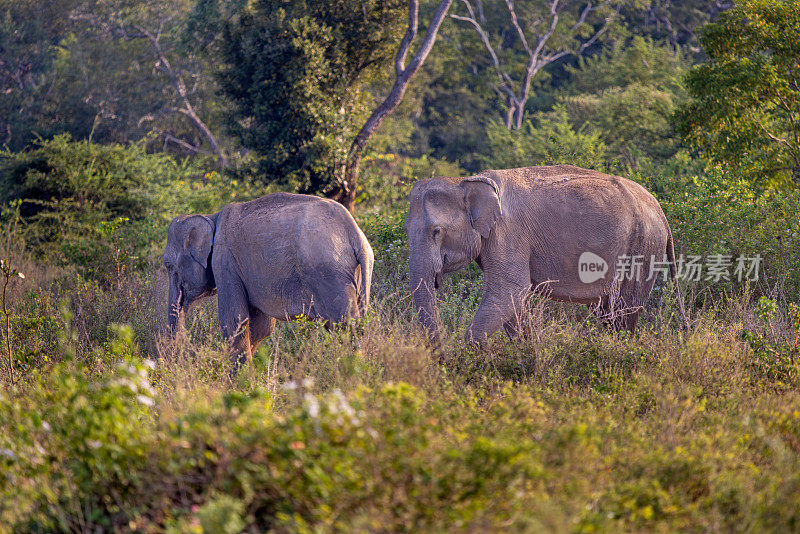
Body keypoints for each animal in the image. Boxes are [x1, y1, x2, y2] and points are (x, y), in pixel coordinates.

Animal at [165, 194, 376, 372]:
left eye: (168, 266)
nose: (175, 363)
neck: (212, 217)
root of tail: (354, 233)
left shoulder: (225, 260)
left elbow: (234, 319)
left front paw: (240, 383)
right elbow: (262, 327)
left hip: (328, 274)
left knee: (344, 325)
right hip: (354, 273)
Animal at [406, 163, 688, 348]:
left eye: (436, 231)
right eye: (406, 231)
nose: (441, 354)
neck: (465, 181)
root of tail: (659, 209)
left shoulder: (509, 233)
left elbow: (509, 290)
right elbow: (513, 301)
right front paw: (526, 351)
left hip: (642, 247)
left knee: (624, 311)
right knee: (608, 312)